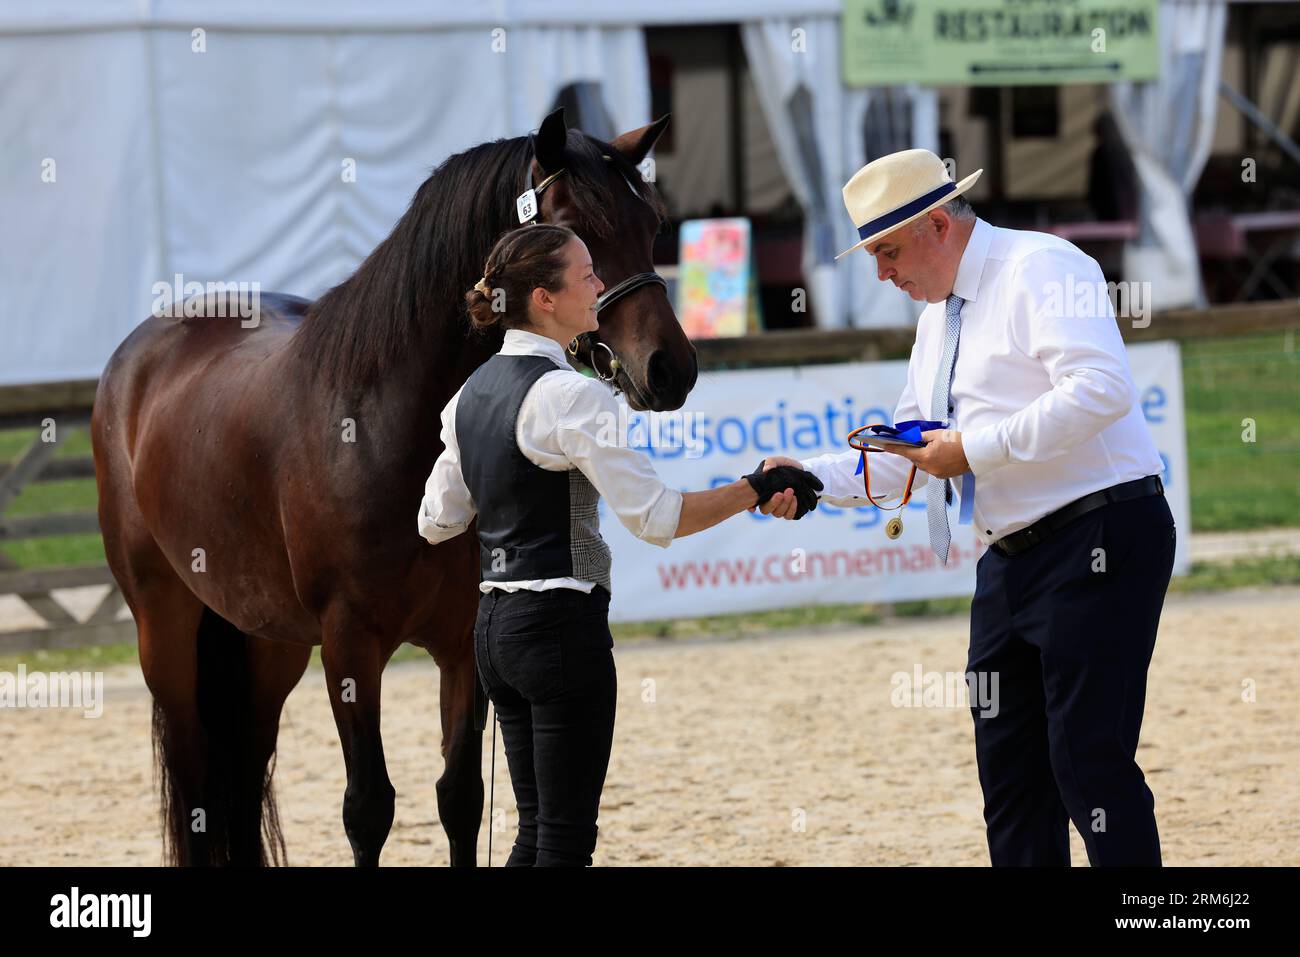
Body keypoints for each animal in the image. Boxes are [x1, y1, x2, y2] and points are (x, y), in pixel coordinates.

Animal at [91, 108, 696, 863]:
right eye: (576, 226)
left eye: (652, 223)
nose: (672, 368)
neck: (384, 422)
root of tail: (139, 355)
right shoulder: (350, 643)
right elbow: (368, 806)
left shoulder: (464, 642)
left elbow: (460, 797)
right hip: (165, 628)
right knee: (198, 777)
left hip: (267, 640)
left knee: (245, 769)